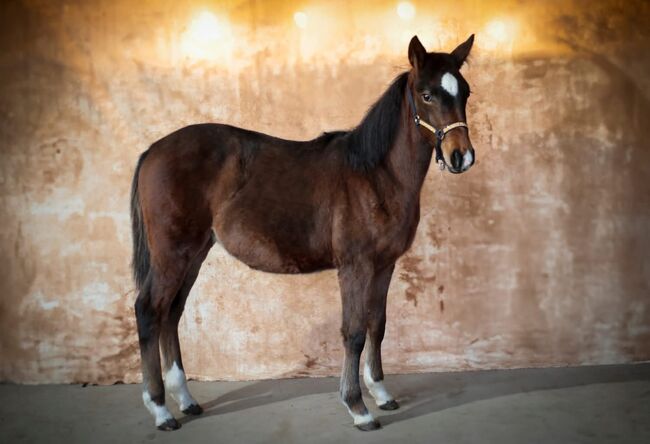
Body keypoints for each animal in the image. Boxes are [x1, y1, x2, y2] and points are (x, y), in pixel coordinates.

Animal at [131, 34, 476, 432]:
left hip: (195, 252)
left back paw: (185, 400)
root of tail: (154, 150)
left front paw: (381, 393)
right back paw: (160, 409)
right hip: (173, 253)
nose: (461, 156)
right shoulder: (355, 267)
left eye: (465, 92)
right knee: (149, 310)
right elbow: (354, 333)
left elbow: (377, 324)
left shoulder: (384, 265)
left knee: (171, 313)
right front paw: (358, 408)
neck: (374, 174)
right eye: (427, 94)